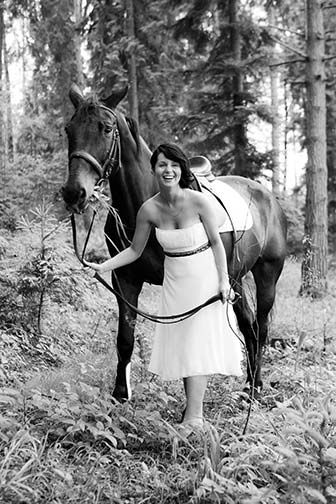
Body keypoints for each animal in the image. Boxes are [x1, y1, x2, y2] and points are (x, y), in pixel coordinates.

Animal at [62, 83, 286, 402]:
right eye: (69, 129)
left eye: (105, 128)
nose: (73, 193)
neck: (144, 204)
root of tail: (267, 196)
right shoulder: (125, 280)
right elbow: (125, 338)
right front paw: (120, 395)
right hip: (234, 278)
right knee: (248, 325)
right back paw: (247, 387)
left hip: (267, 273)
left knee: (262, 325)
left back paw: (256, 388)